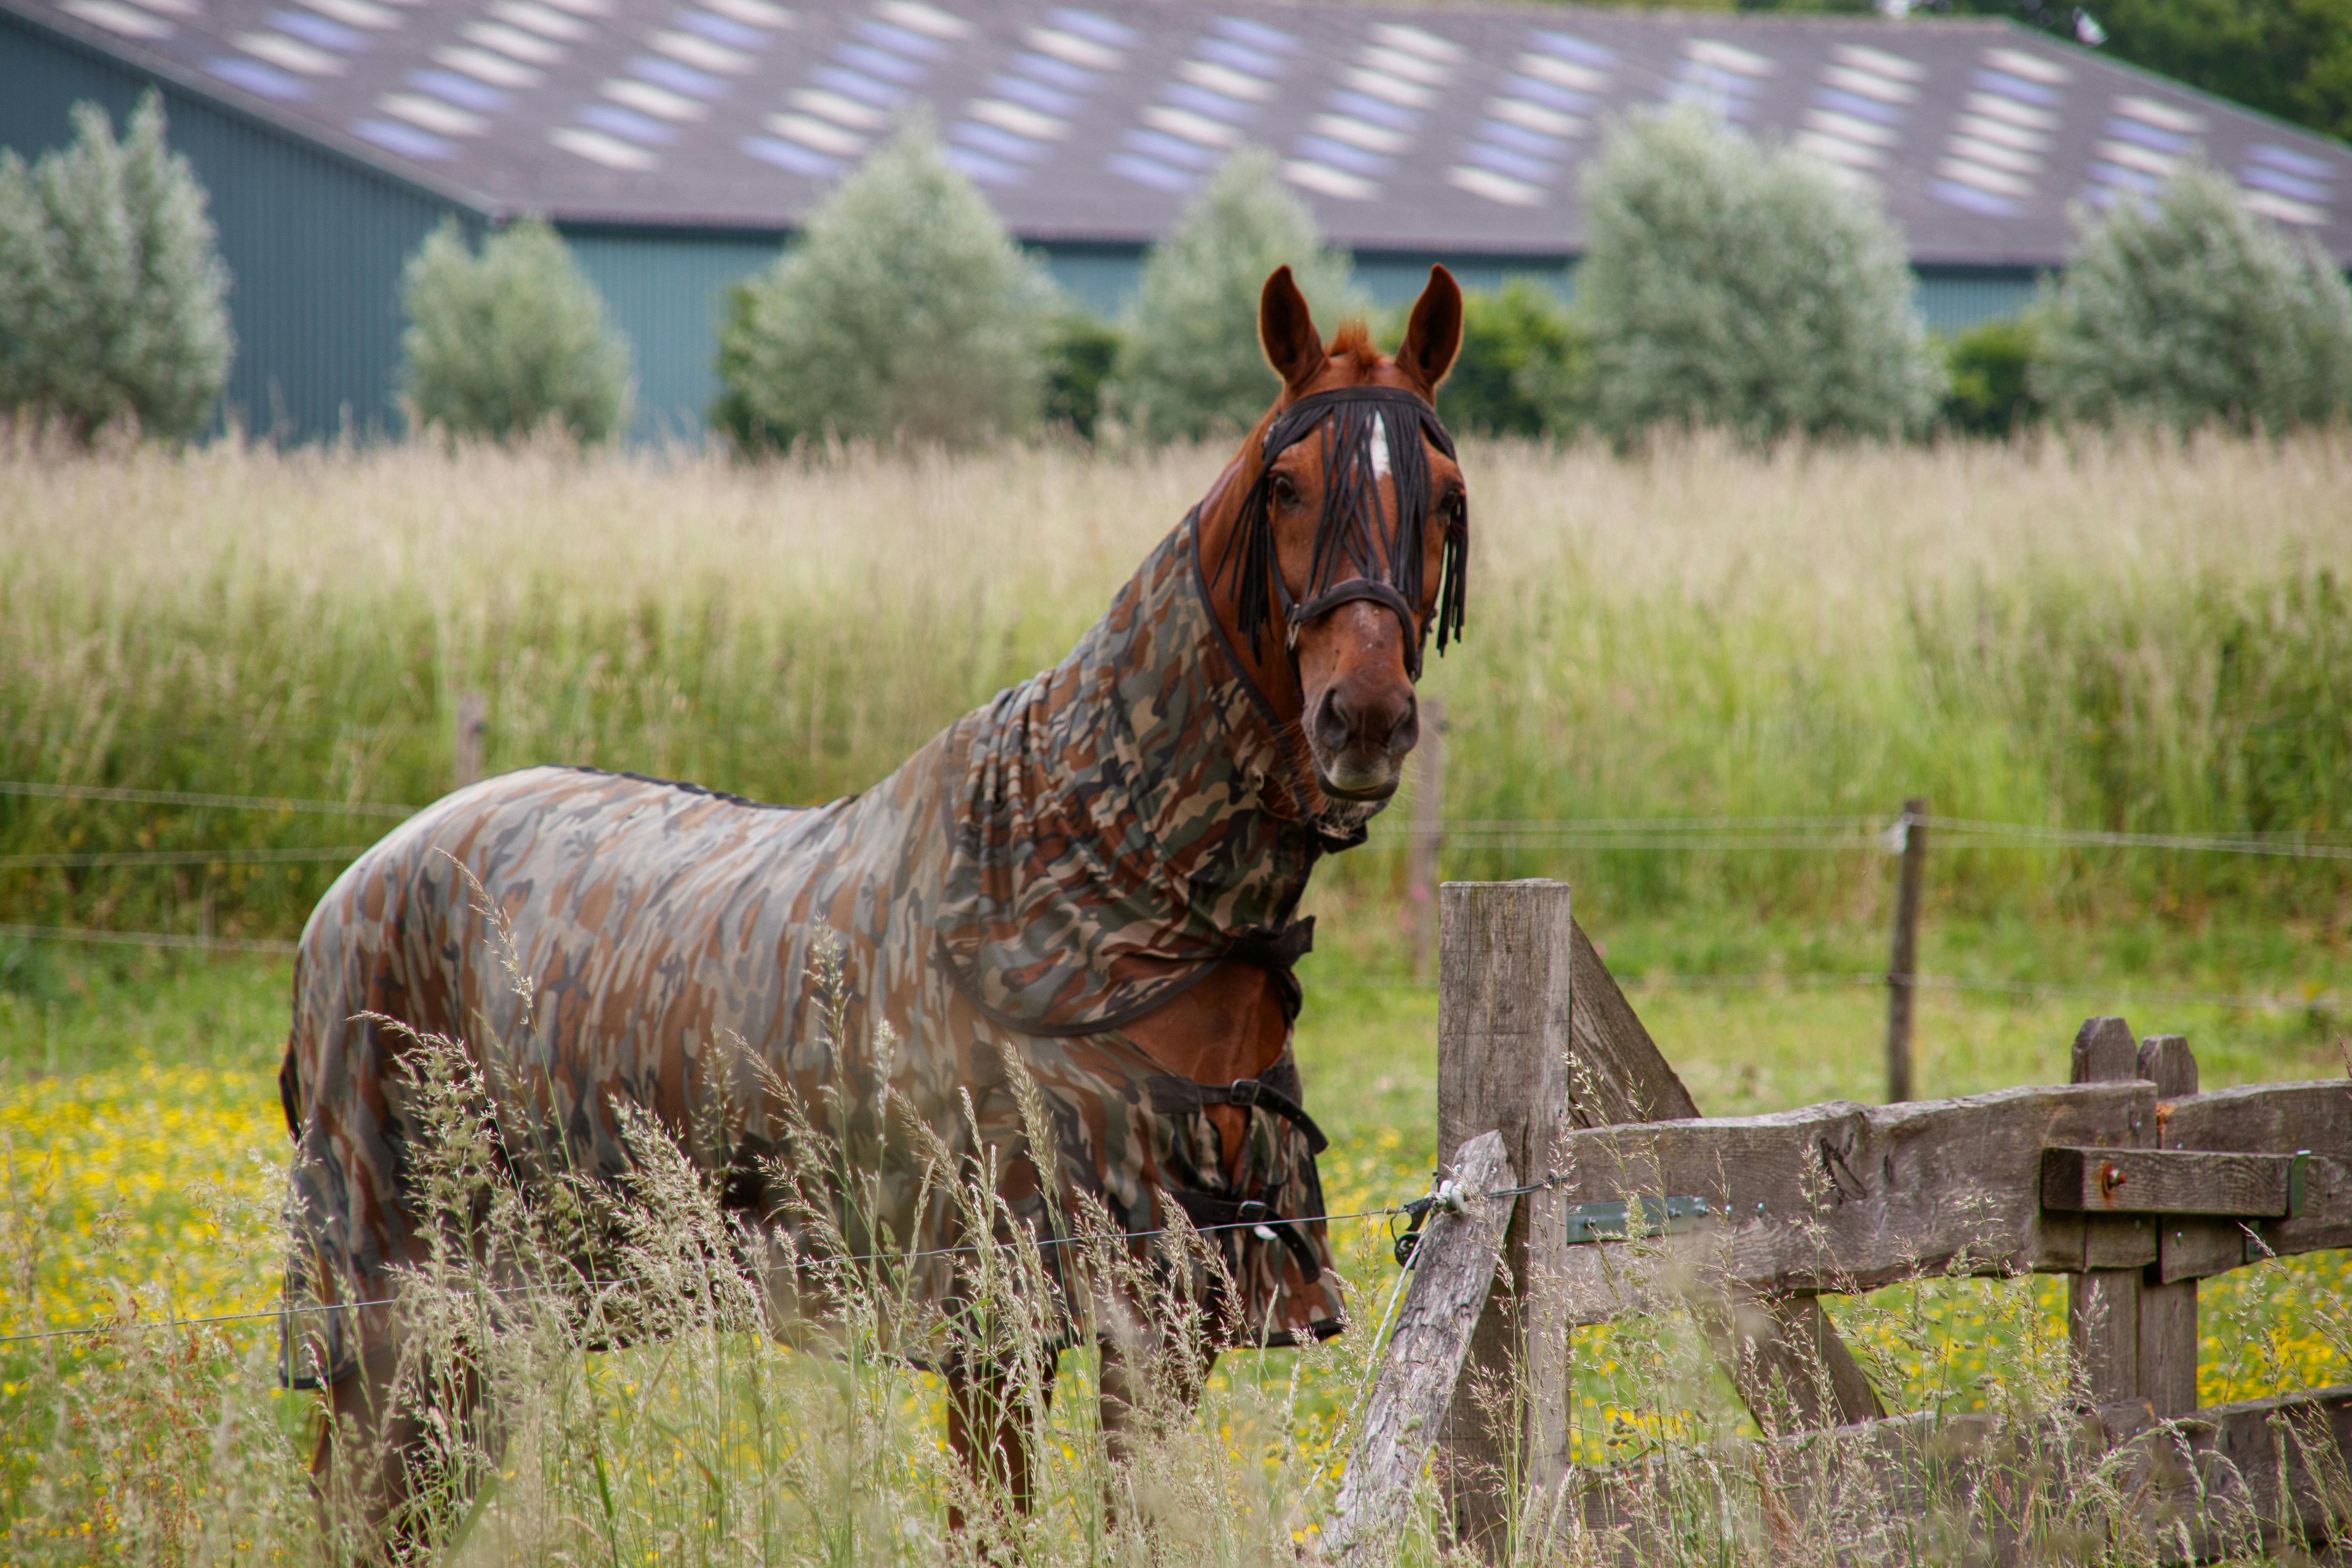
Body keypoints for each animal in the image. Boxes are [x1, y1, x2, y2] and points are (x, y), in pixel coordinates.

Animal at [277, 263, 1466, 1548]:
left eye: (1446, 500)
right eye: (1286, 486)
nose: (1363, 718)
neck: (1096, 900)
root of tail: (355, 886)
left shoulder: (1167, 1326)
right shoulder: (993, 1319)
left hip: (491, 1320)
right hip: (396, 1304)